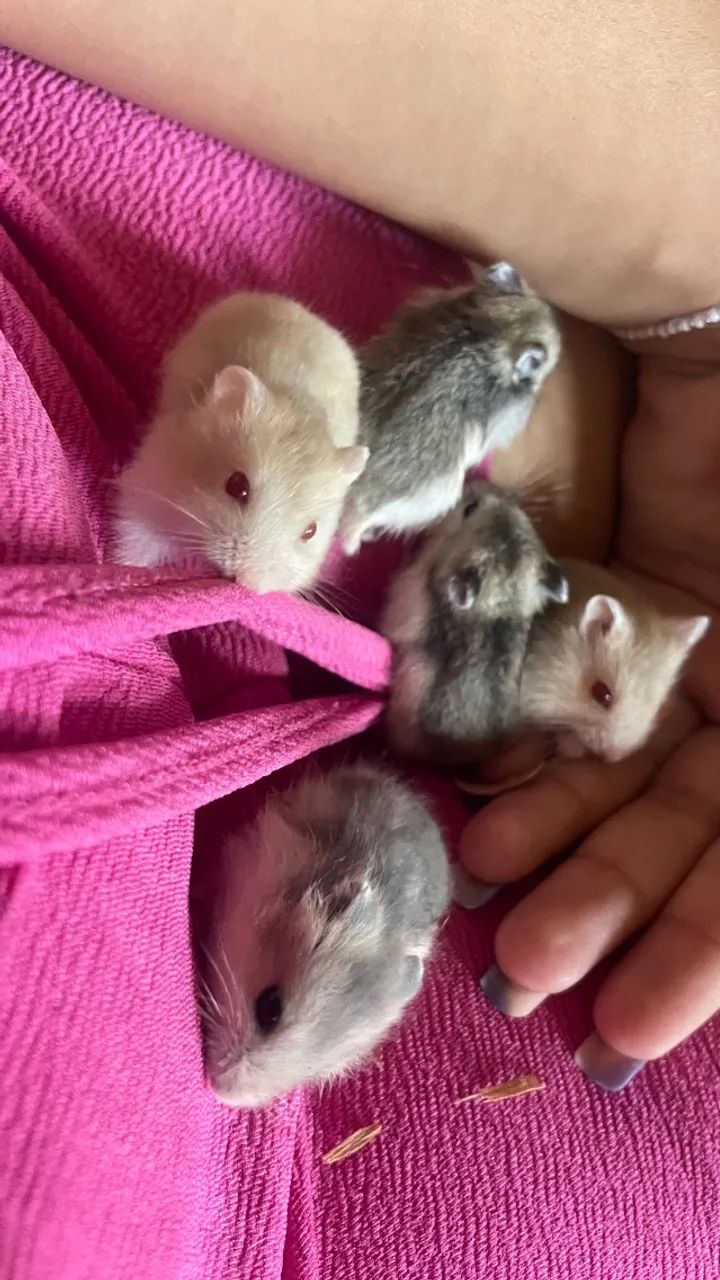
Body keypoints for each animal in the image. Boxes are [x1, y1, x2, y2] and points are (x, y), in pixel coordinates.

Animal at [114, 292, 368, 593]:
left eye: (310, 531)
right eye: (236, 486)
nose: (244, 581)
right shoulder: (150, 490)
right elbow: (136, 542)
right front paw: (121, 567)